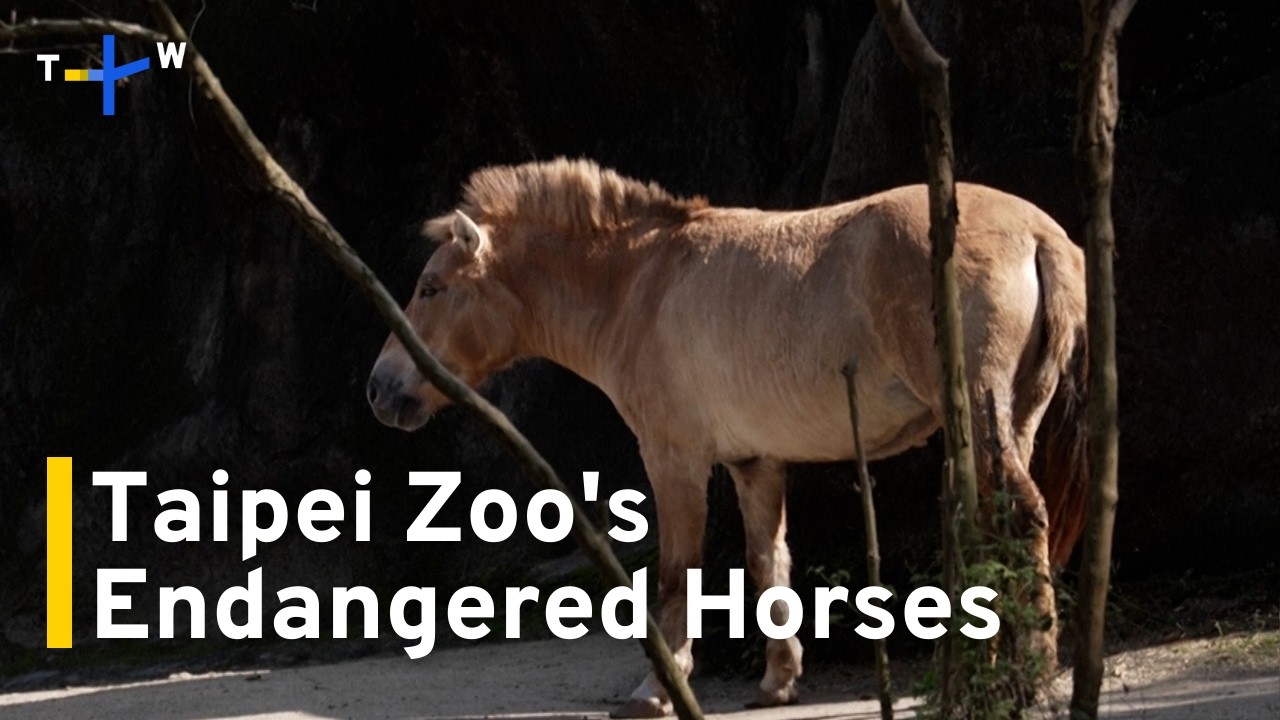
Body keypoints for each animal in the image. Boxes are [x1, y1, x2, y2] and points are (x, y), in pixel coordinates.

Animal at [367, 158, 1088, 718]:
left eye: (430, 288)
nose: (379, 389)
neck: (637, 284)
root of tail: (1039, 232)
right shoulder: (754, 463)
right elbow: (769, 566)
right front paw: (777, 682)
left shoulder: (675, 460)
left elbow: (676, 576)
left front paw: (656, 690)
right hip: (1012, 420)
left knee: (1022, 518)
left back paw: (1029, 672)